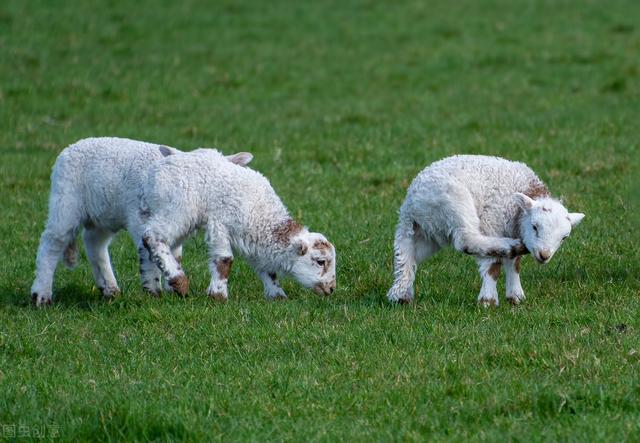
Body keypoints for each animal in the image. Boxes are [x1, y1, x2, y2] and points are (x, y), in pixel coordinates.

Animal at [30, 137, 254, 306]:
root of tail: (70, 147)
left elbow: (174, 254)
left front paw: (171, 288)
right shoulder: (143, 219)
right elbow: (149, 253)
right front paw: (156, 290)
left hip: (104, 213)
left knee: (95, 244)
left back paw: (110, 289)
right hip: (66, 200)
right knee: (52, 242)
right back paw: (41, 295)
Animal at [139, 147, 338, 304]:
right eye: (320, 261)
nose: (331, 289)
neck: (262, 214)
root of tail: (158, 168)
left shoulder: (253, 238)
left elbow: (268, 269)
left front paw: (277, 295)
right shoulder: (220, 224)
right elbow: (224, 260)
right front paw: (218, 296)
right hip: (177, 208)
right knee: (152, 236)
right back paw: (178, 281)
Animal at [384, 158, 584, 306]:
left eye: (564, 238)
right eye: (535, 226)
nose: (544, 255)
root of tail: (412, 200)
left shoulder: (514, 228)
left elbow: (515, 264)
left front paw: (515, 296)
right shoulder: (492, 222)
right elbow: (493, 264)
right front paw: (488, 300)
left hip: (428, 230)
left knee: (407, 253)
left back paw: (400, 294)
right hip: (454, 203)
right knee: (467, 240)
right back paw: (512, 246)